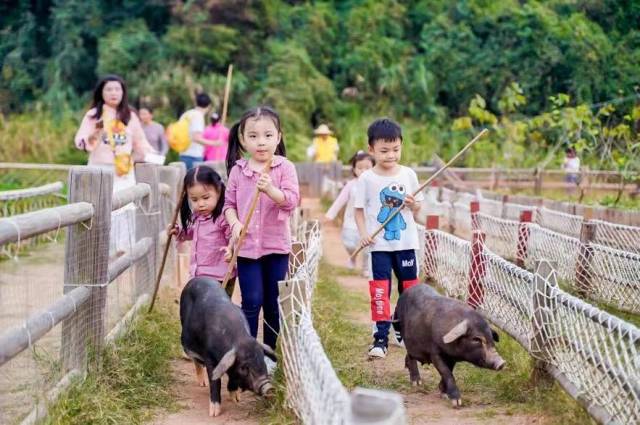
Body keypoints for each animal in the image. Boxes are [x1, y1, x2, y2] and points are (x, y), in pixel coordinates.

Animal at [182, 276, 278, 416]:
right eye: (244, 367)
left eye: (262, 360)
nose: (267, 385)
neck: (239, 339)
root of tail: (199, 278)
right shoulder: (209, 356)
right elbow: (215, 380)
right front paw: (214, 413)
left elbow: (232, 376)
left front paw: (236, 399)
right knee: (195, 360)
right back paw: (202, 384)